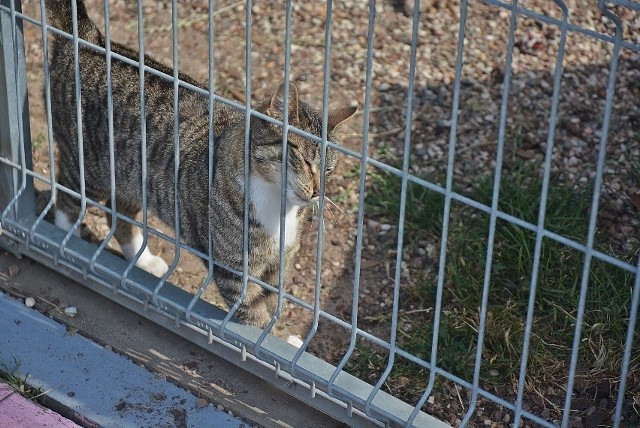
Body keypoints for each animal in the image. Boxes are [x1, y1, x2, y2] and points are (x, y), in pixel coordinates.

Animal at [45, 0, 356, 332]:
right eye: (303, 159)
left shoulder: (277, 267)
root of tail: (89, 40)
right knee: (67, 198)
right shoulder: (233, 272)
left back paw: (143, 260)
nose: (317, 192)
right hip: (87, 166)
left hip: (134, 177)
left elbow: (272, 305)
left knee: (119, 213)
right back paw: (67, 241)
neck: (277, 206)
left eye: (328, 170)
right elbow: (253, 317)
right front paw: (264, 334)